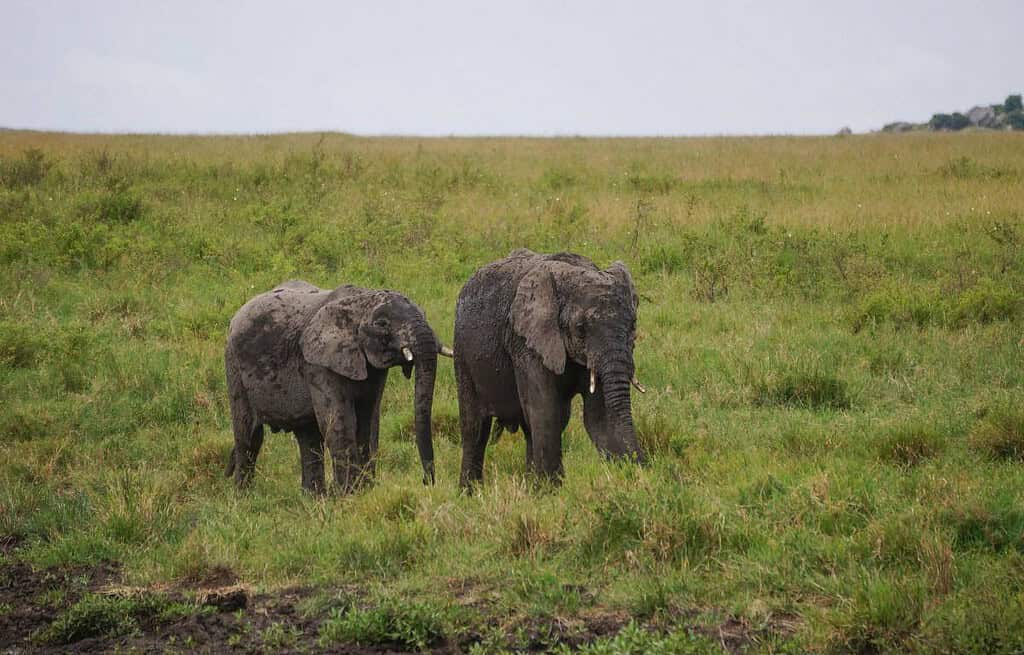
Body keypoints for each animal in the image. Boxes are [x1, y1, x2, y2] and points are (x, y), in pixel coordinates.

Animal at [224, 278, 452, 493]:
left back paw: (314, 498)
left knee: (308, 436)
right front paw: (349, 494)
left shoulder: (372, 368)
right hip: (234, 366)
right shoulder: (318, 363)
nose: (426, 481)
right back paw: (243, 496)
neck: (360, 301)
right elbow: (341, 421)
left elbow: (369, 420)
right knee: (249, 435)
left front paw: (365, 491)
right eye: (382, 324)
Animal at [456, 247, 647, 489]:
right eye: (580, 328)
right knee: (475, 428)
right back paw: (470, 492)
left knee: (528, 428)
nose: (645, 467)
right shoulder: (525, 343)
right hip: (462, 353)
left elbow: (599, 418)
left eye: (633, 324)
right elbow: (546, 411)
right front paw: (554, 491)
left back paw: (531, 487)